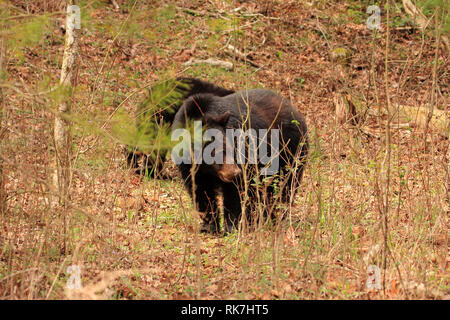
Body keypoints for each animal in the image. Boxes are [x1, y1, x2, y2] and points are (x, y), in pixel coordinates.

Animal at [171, 89, 308, 234]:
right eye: (215, 152)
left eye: (230, 147)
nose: (234, 172)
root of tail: (295, 110)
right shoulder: (189, 166)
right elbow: (200, 190)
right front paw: (209, 225)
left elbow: (237, 190)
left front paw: (232, 225)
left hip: (290, 150)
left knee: (286, 184)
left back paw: (275, 216)